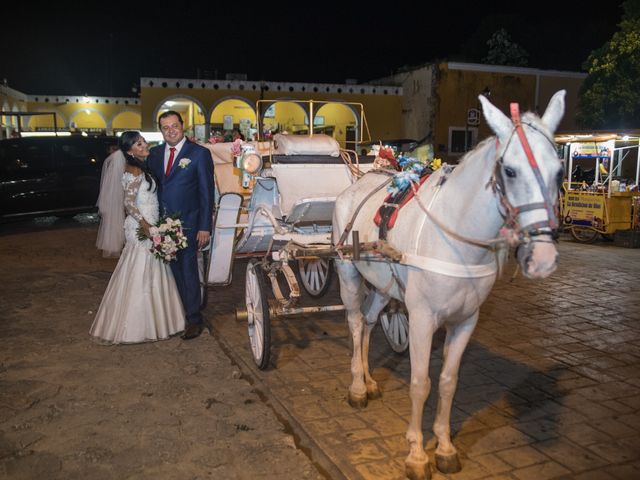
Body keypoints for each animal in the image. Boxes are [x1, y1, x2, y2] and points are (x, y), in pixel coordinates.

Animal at [330, 91, 564, 480]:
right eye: (510, 170)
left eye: (560, 171)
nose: (543, 257)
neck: (457, 242)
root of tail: (357, 184)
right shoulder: (423, 320)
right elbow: (420, 383)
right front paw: (416, 453)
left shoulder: (466, 321)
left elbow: (448, 383)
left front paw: (443, 446)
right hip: (347, 272)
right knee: (354, 322)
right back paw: (357, 386)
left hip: (382, 285)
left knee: (368, 321)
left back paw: (369, 378)